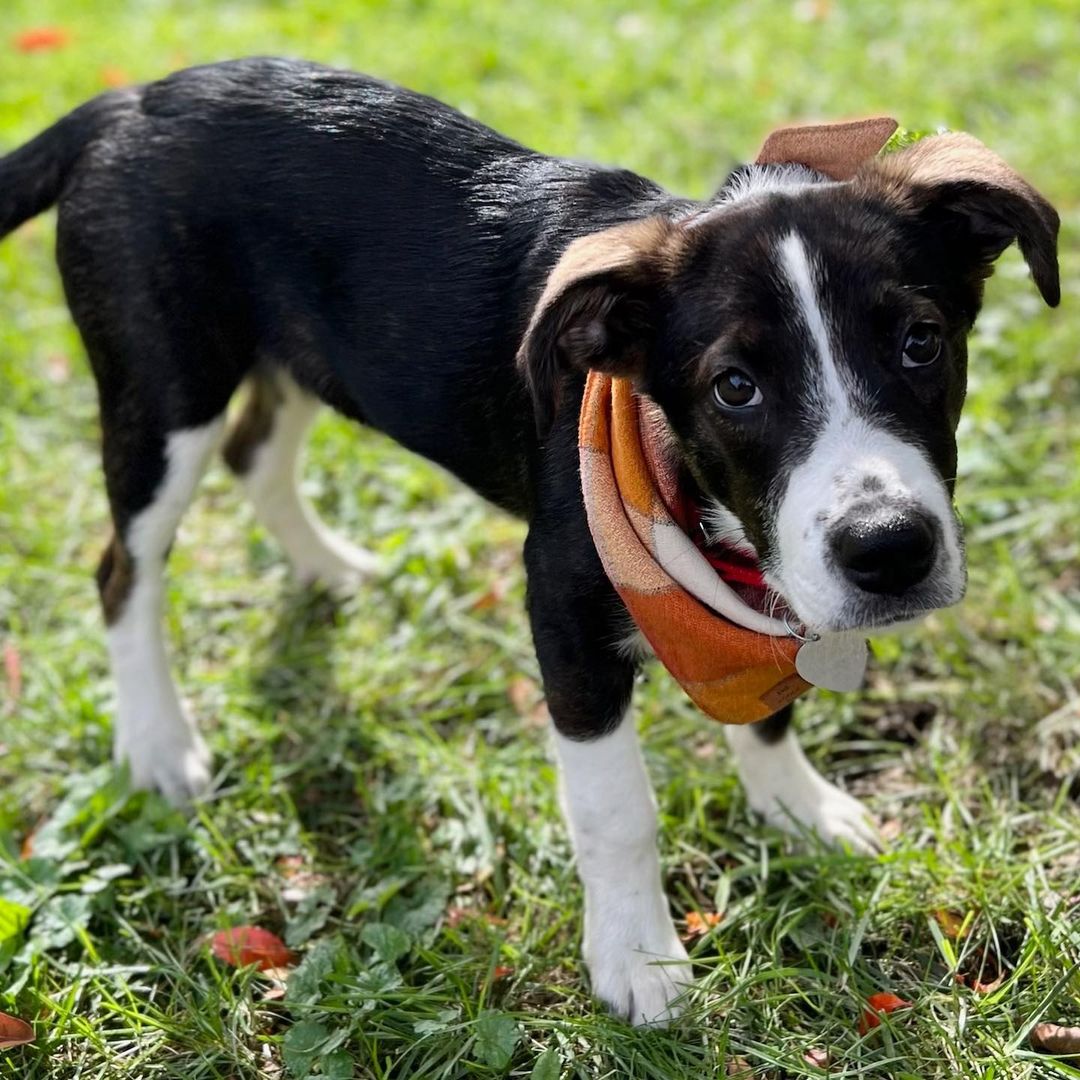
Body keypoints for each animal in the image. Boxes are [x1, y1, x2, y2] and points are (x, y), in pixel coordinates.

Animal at [2, 56, 1062, 1019]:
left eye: (921, 343)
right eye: (735, 388)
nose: (890, 551)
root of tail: (131, 99)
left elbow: (769, 699)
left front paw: (795, 805)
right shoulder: (564, 609)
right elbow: (616, 809)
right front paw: (638, 962)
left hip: (299, 354)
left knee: (255, 452)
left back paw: (328, 566)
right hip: (161, 390)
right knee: (123, 566)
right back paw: (157, 742)